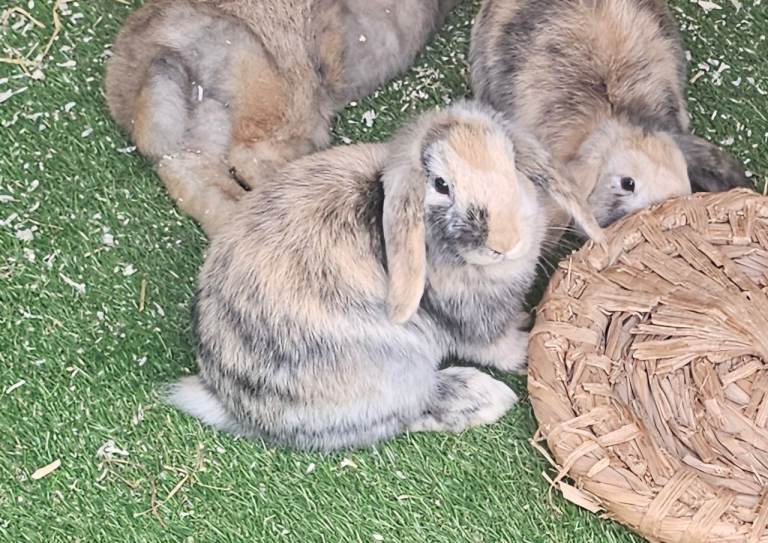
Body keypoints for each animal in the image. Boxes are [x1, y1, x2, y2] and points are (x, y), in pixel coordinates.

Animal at [168, 101, 604, 451]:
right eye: (441, 185)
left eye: (511, 164)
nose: (506, 241)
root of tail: (229, 400)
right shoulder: (471, 322)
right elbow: (496, 346)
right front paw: (528, 350)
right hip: (395, 369)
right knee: (412, 408)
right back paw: (487, 397)